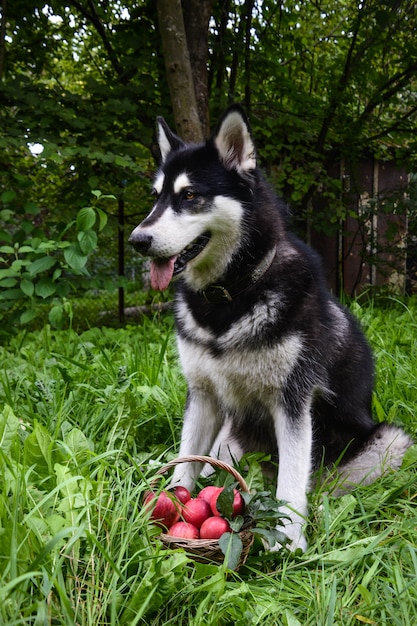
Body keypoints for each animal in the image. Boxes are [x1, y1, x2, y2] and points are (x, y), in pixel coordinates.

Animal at [128, 107, 412, 552]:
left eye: (189, 195)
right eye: (156, 195)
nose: (137, 239)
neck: (230, 297)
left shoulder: (293, 402)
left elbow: (291, 483)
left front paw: (289, 544)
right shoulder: (203, 396)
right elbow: (186, 462)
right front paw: (169, 506)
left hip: (389, 441)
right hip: (230, 435)